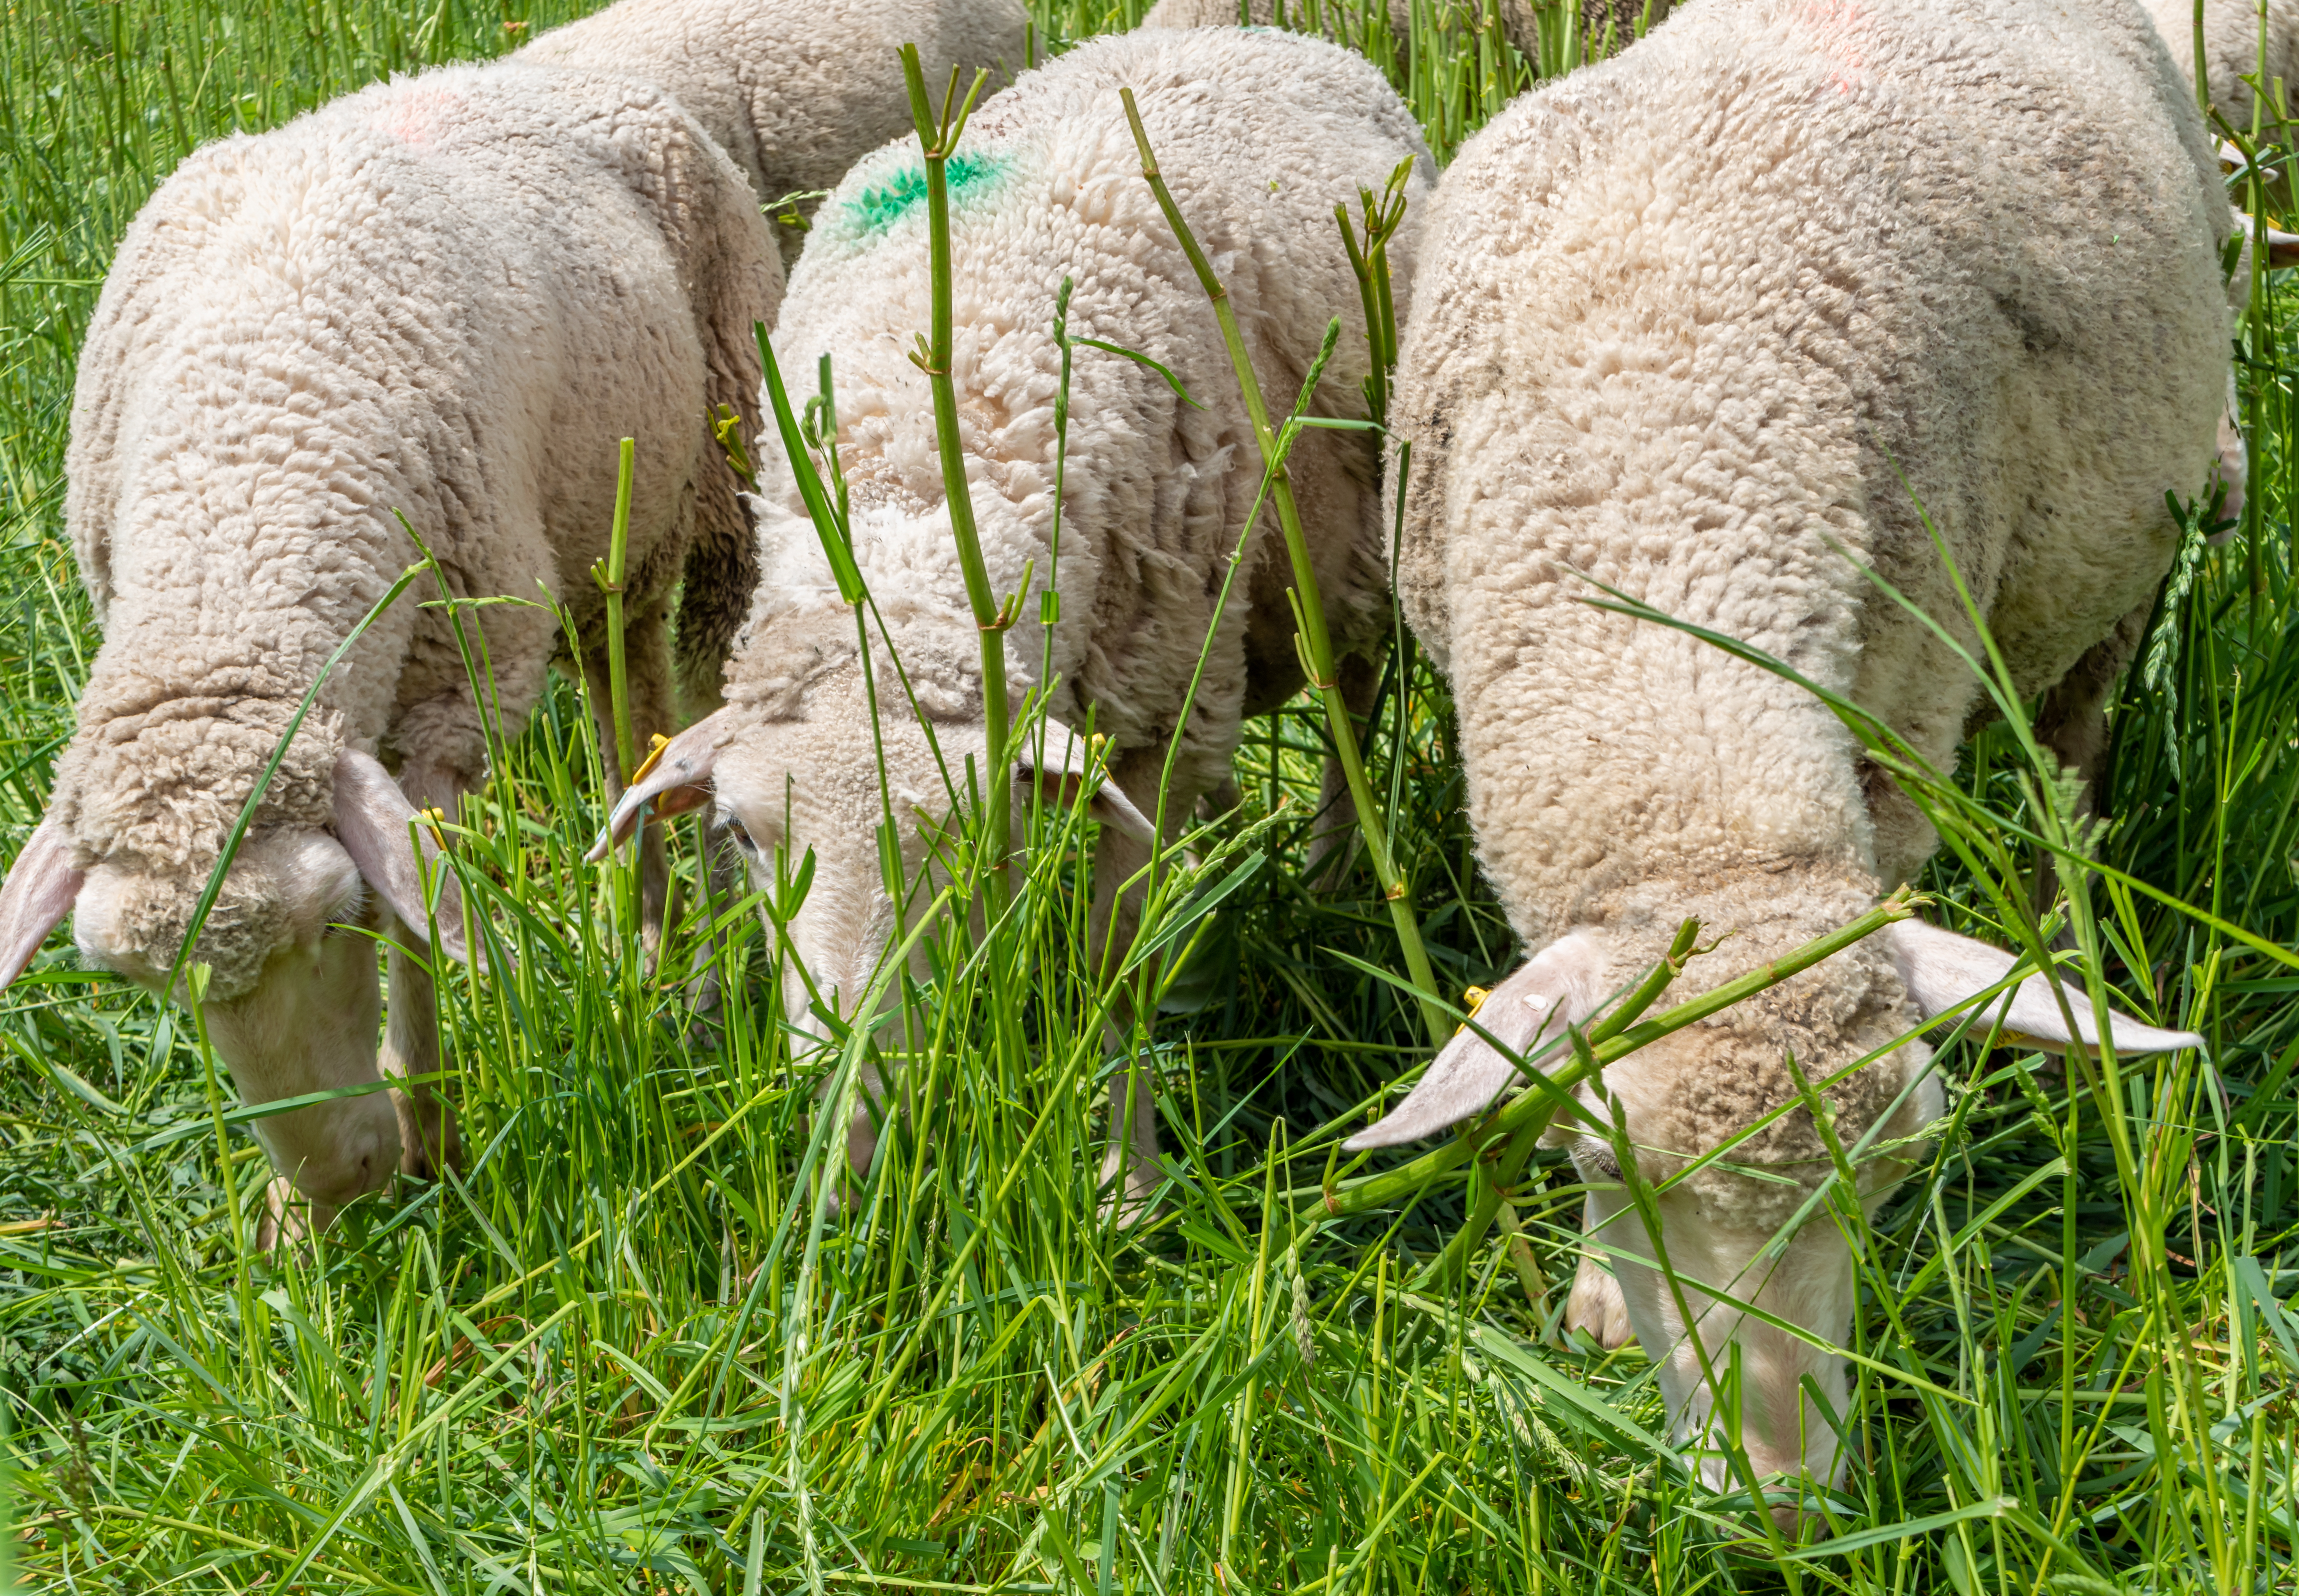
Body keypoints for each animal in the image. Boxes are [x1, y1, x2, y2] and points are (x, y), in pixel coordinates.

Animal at [0, 59, 781, 1242]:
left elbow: (422, 919)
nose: (341, 1182)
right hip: (602, 539)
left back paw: (669, 949)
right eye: (153, 988)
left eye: (337, 921)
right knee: (624, 689)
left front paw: (432, 1142)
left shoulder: (453, 696)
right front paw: (295, 1212)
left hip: (727, 456)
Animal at [588, 28, 1416, 1214]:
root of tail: (1253, 33)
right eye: (741, 835)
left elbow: (1114, 967)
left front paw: (1127, 1185)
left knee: (1350, 693)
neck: (914, 497)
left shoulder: (1158, 711)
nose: (849, 1132)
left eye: (971, 836)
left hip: (1338, 555)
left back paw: (1334, 878)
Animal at [1342, 0, 2225, 1499]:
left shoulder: (1904, 725)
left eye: (1897, 1174)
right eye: (1605, 1171)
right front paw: (1596, 1304)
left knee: (2069, 774)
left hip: (2112, 579)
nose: (1786, 1494)